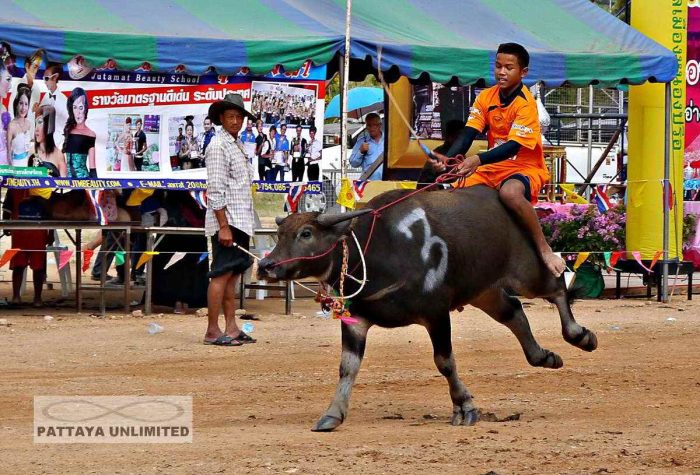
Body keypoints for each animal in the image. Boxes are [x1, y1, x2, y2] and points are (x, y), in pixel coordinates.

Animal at [258, 185, 597, 431]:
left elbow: (444, 362)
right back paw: (544, 356)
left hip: (526, 272)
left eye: (306, 233)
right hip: (484, 291)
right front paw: (332, 414)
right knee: (513, 312)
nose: (266, 265)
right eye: (280, 234)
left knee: (557, 286)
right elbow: (347, 368)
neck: (379, 248)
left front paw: (464, 407)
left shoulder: (436, 313)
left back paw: (581, 336)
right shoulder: (356, 320)